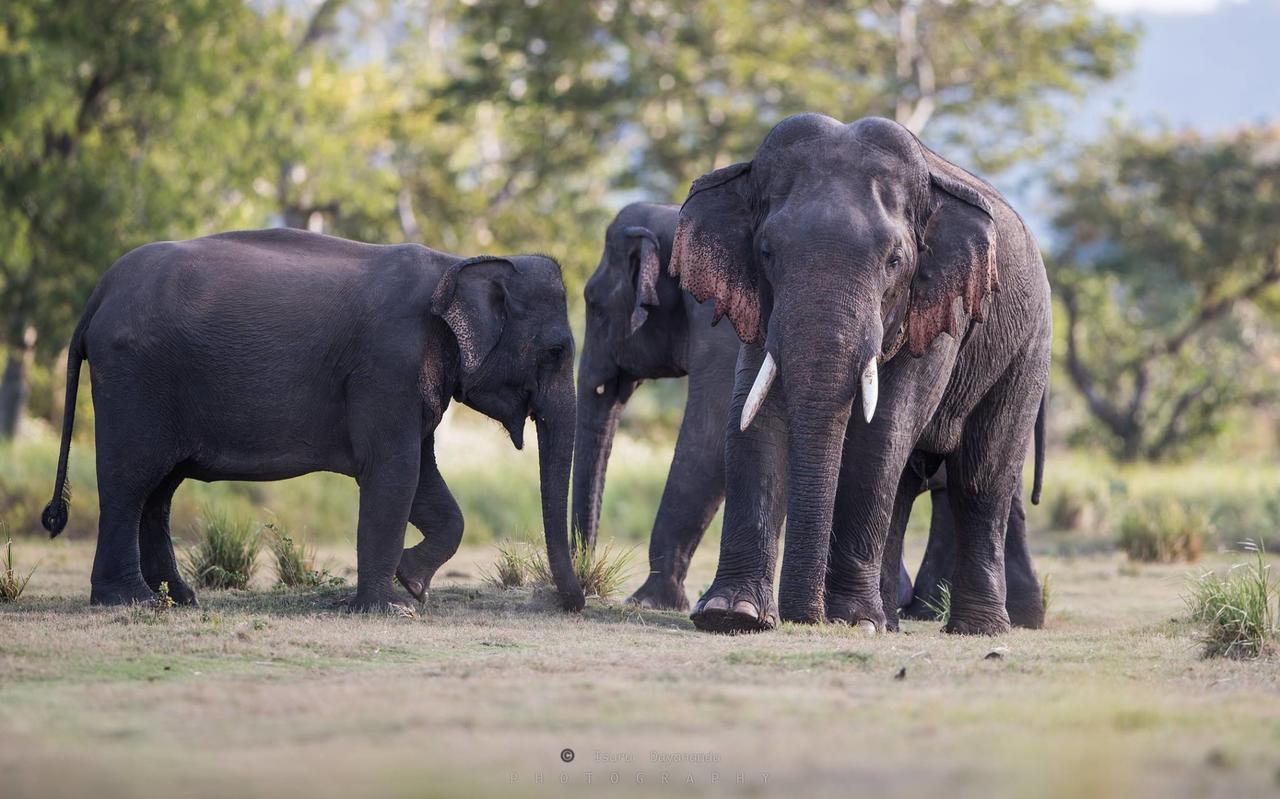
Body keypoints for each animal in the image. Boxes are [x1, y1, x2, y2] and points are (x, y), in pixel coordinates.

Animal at [37, 227, 583, 614]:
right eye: (556, 352)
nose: (569, 604)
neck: (456, 264)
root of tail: (100, 293)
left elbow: (423, 480)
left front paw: (412, 584)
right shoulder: (387, 366)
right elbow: (394, 472)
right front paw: (392, 607)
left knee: (160, 490)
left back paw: (180, 599)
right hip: (134, 378)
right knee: (131, 480)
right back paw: (131, 601)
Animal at [670, 113, 1049, 637]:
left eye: (894, 261)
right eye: (766, 252)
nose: (804, 617)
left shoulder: (941, 304)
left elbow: (882, 430)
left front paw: (849, 621)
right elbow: (754, 416)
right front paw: (732, 615)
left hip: (1028, 346)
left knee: (981, 479)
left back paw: (975, 629)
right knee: (908, 485)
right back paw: (887, 622)